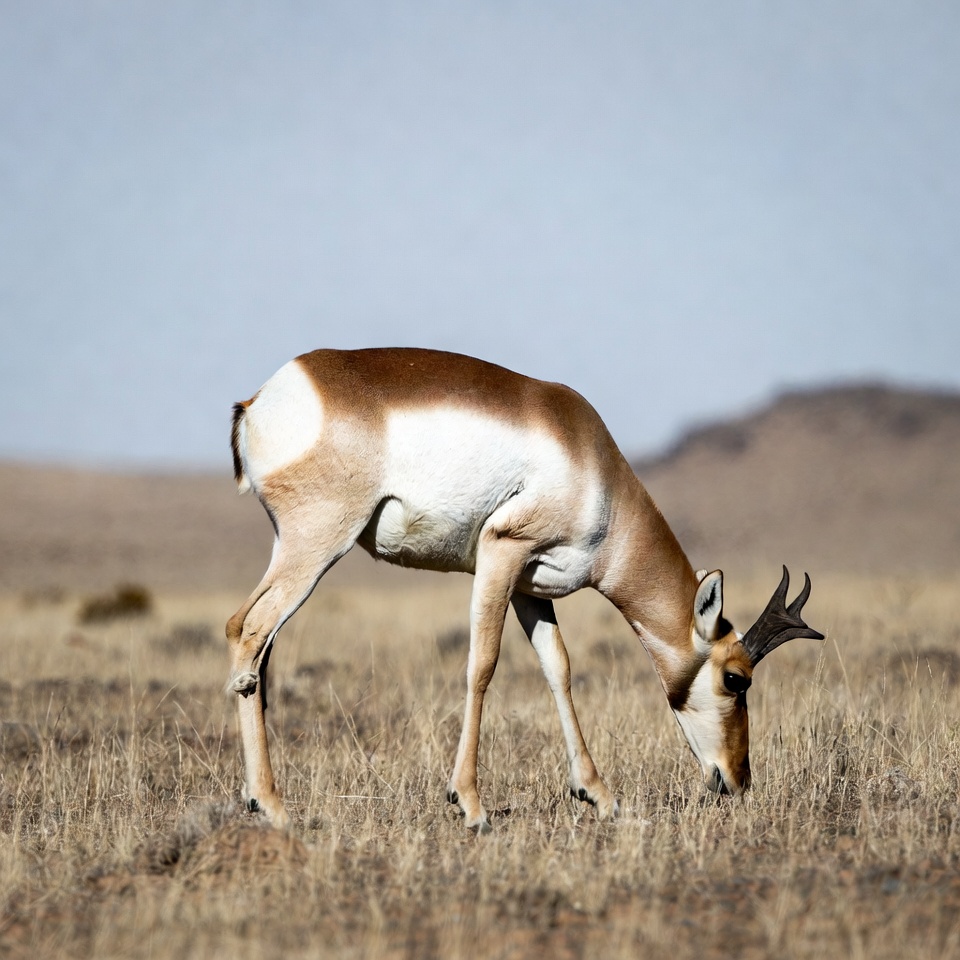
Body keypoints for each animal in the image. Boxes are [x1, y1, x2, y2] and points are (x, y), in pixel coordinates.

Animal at [226, 348, 823, 831]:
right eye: (736, 678)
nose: (737, 780)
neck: (586, 455)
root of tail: (266, 397)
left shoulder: (530, 586)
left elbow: (558, 668)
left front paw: (598, 795)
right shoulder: (501, 551)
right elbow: (482, 664)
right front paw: (470, 804)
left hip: (294, 551)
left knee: (253, 645)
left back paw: (262, 799)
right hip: (318, 545)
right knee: (249, 630)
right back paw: (274, 807)